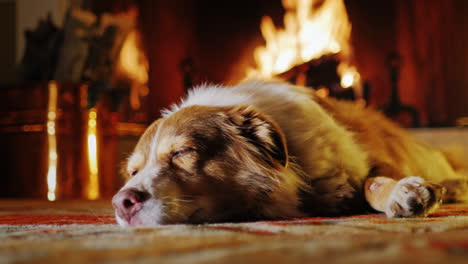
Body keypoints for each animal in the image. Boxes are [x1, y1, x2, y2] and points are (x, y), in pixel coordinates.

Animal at [111, 81, 466, 227]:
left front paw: (404, 193)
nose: (121, 203)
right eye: (133, 172)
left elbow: (373, 181)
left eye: (182, 152)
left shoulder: (371, 158)